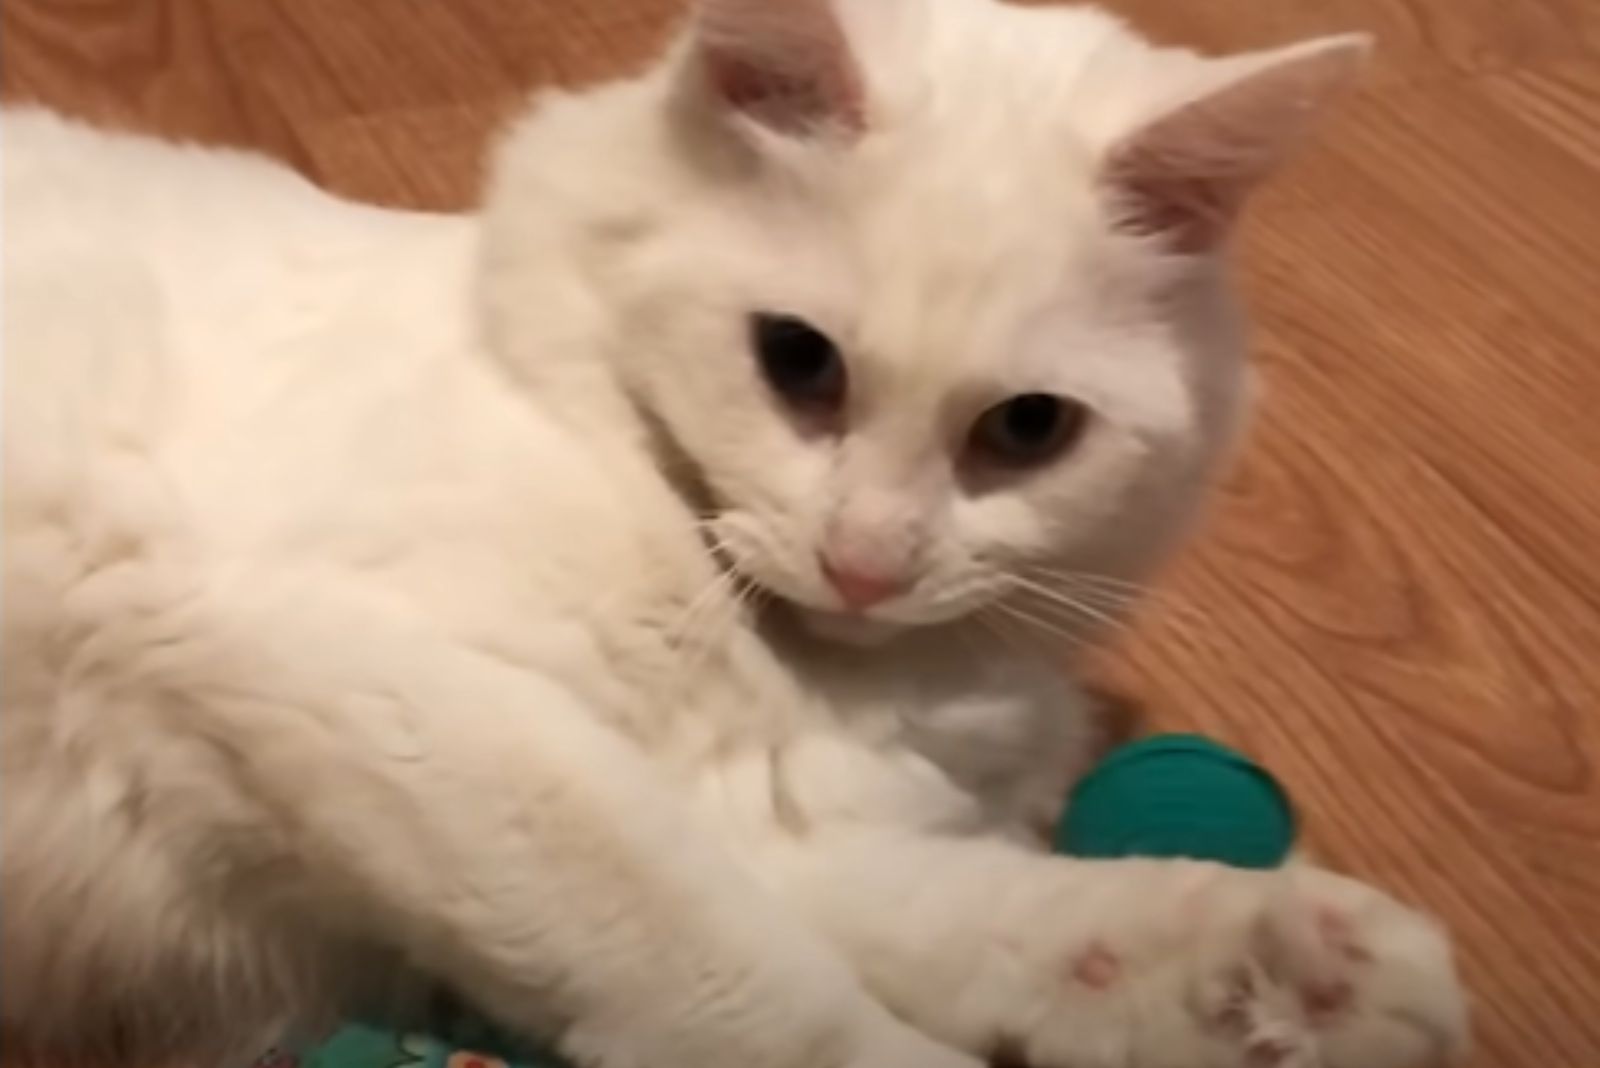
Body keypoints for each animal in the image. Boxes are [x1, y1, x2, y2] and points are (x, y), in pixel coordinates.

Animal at [0, 0, 1465, 1061]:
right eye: (797, 363)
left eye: (1029, 430)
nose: (867, 568)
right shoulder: (380, 699)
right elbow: (747, 979)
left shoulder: (754, 822)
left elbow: (984, 917)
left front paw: (1294, 977)